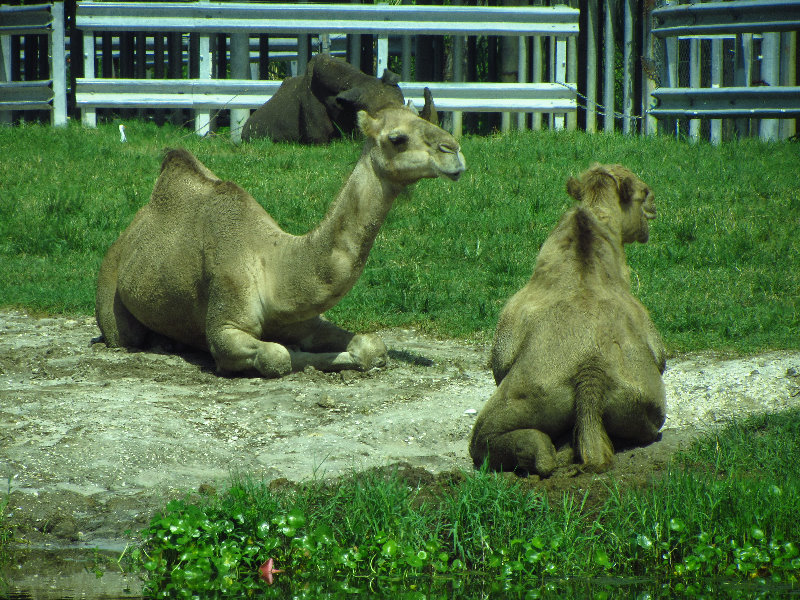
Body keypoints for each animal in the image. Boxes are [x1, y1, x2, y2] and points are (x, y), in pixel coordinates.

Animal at [96, 107, 466, 378]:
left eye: (427, 121)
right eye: (397, 138)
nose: (454, 151)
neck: (272, 265)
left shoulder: (304, 317)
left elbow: (371, 346)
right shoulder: (225, 326)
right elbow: (278, 357)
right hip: (112, 305)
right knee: (124, 335)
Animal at [468, 164, 668, 478]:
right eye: (643, 192)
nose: (654, 206)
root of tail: (590, 375)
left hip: (531, 396)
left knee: (485, 436)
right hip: (644, 404)